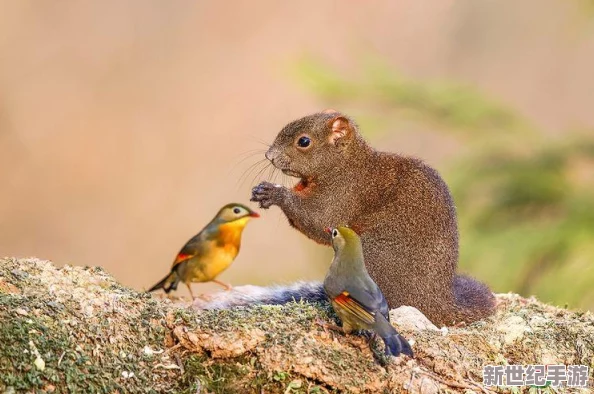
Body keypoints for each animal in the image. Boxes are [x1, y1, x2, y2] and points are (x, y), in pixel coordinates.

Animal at [205, 110, 494, 326]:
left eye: (304, 141)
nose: (269, 156)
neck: (346, 164)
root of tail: (436, 303)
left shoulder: (343, 195)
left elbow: (318, 220)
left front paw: (274, 193)